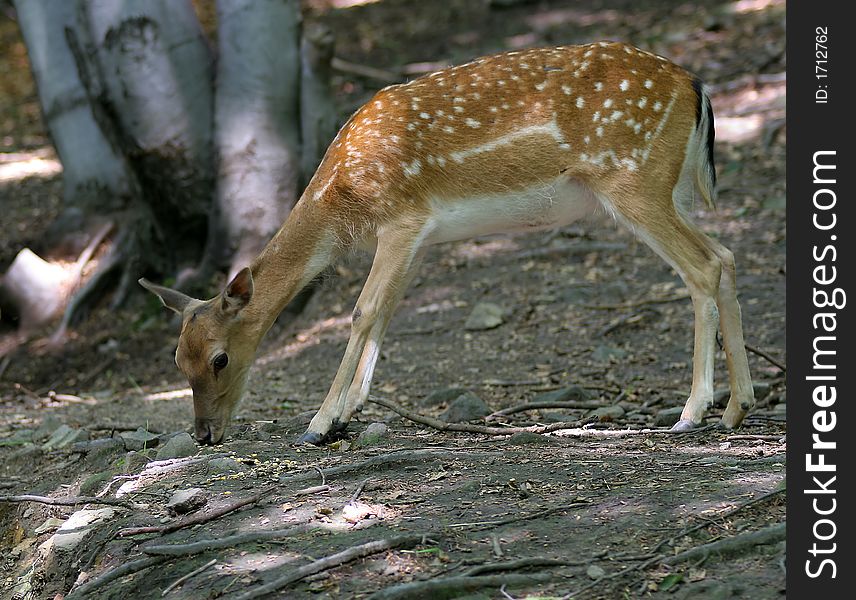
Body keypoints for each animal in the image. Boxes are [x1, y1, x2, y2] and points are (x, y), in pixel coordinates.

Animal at [140, 42, 756, 446]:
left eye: (219, 358)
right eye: (176, 360)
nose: (203, 435)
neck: (342, 199)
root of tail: (695, 86)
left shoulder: (401, 218)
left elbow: (362, 310)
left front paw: (319, 424)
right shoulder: (422, 236)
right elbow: (387, 311)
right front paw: (350, 411)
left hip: (633, 179)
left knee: (702, 267)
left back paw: (692, 412)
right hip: (667, 188)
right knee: (725, 256)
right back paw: (738, 408)